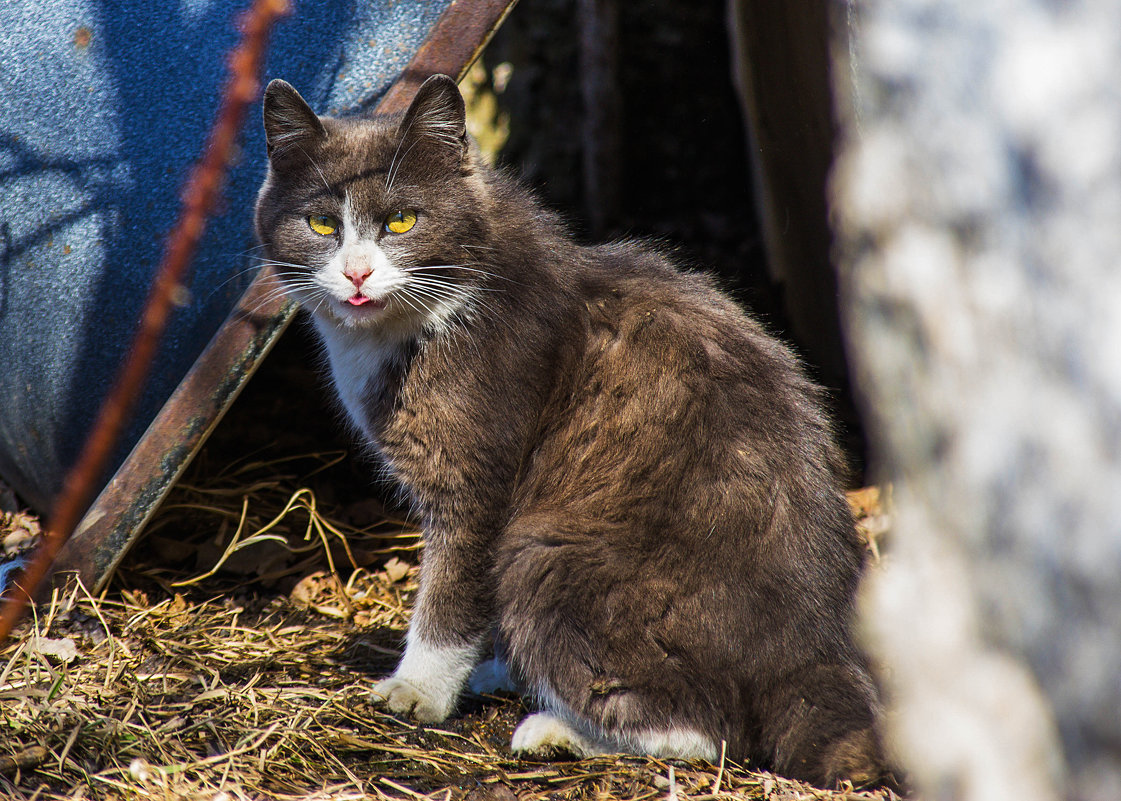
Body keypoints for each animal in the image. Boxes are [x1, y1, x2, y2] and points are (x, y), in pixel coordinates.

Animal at [254, 73, 892, 788]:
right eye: (321, 223)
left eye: (401, 221)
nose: (358, 272)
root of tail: (816, 656)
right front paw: (489, 669)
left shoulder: (477, 480)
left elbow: (452, 588)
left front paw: (418, 689)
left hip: (547, 554)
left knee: (710, 729)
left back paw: (557, 730)